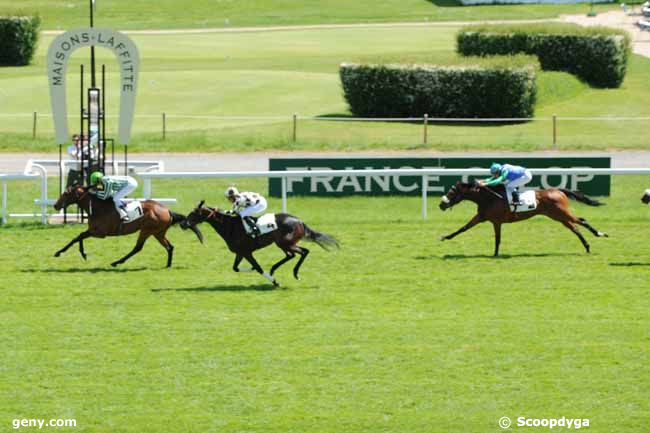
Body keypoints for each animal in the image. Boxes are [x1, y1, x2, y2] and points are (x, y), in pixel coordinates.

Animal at [53, 185, 202, 266]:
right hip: (158, 232)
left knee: (137, 248)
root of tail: (167, 210)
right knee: (169, 247)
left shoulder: (100, 233)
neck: (97, 207)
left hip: (147, 230)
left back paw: (116, 262)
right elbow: (78, 237)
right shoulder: (93, 231)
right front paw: (79, 253)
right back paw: (168, 265)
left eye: (65, 193)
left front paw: (61, 252)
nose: (55, 205)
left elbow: (78, 237)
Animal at [178, 201, 336, 286]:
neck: (230, 226)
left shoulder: (247, 252)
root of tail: (299, 221)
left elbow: (258, 267)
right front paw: (255, 270)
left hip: (285, 243)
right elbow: (235, 268)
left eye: (194, 213)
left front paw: (275, 282)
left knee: (303, 252)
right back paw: (274, 269)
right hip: (283, 244)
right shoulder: (240, 252)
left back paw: (295, 273)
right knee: (293, 254)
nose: (183, 224)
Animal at [436, 181, 608, 255]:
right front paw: (445, 237)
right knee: (575, 228)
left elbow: (497, 239)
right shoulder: (482, 217)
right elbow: (463, 228)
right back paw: (587, 247)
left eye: (452, 192)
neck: (489, 198)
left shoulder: (496, 221)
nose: (441, 205)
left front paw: (495, 254)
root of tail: (558, 190)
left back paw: (600, 234)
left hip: (561, 213)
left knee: (581, 221)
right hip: (558, 217)